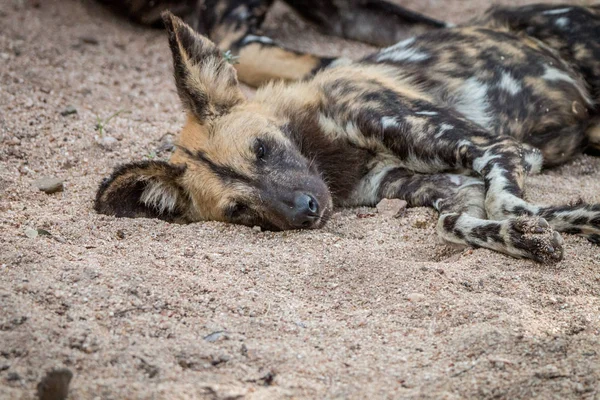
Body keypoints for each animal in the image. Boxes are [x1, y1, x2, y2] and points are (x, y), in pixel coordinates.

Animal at [95, 5, 600, 266]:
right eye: (238, 210)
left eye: (262, 149)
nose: (307, 209)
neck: (333, 153)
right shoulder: (448, 189)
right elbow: (455, 221)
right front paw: (540, 233)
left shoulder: (501, 148)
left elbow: (508, 202)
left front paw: (544, 224)